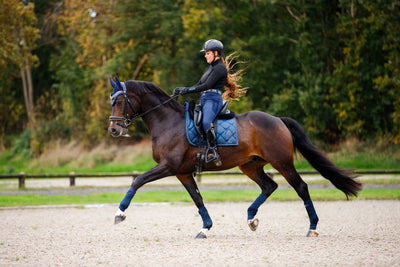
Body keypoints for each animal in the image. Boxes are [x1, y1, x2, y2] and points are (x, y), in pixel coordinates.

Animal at [107, 77, 362, 239]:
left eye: (119, 101)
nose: (113, 130)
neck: (168, 122)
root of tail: (278, 120)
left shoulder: (168, 166)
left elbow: (138, 180)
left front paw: (119, 213)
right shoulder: (182, 172)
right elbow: (197, 199)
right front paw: (205, 228)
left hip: (282, 162)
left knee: (301, 187)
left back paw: (312, 227)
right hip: (250, 166)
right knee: (269, 186)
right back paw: (251, 219)